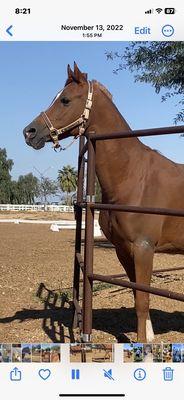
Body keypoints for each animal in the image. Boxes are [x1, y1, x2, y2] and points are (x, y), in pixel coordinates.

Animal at [23, 61, 184, 340]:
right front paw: (148, 335)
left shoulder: (144, 248)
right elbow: (136, 294)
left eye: (65, 100)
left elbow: (143, 300)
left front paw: (144, 344)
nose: (29, 132)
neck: (134, 177)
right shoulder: (123, 249)